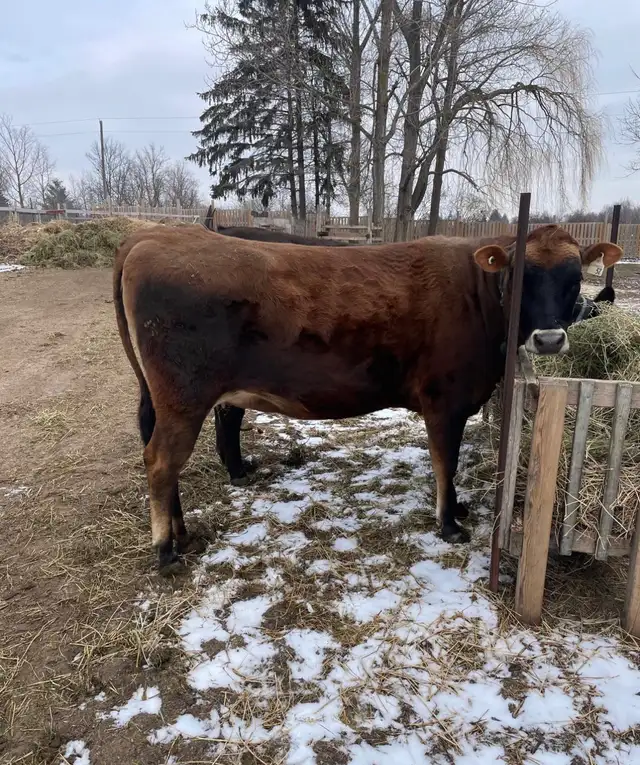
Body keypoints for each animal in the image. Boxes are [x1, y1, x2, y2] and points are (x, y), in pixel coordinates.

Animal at [113, 223, 622, 572]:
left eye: (575, 277)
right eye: (521, 277)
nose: (550, 339)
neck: (479, 296)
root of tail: (153, 236)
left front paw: (456, 509)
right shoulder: (445, 399)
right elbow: (446, 462)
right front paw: (449, 523)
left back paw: (183, 533)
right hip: (183, 397)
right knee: (161, 462)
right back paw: (165, 551)